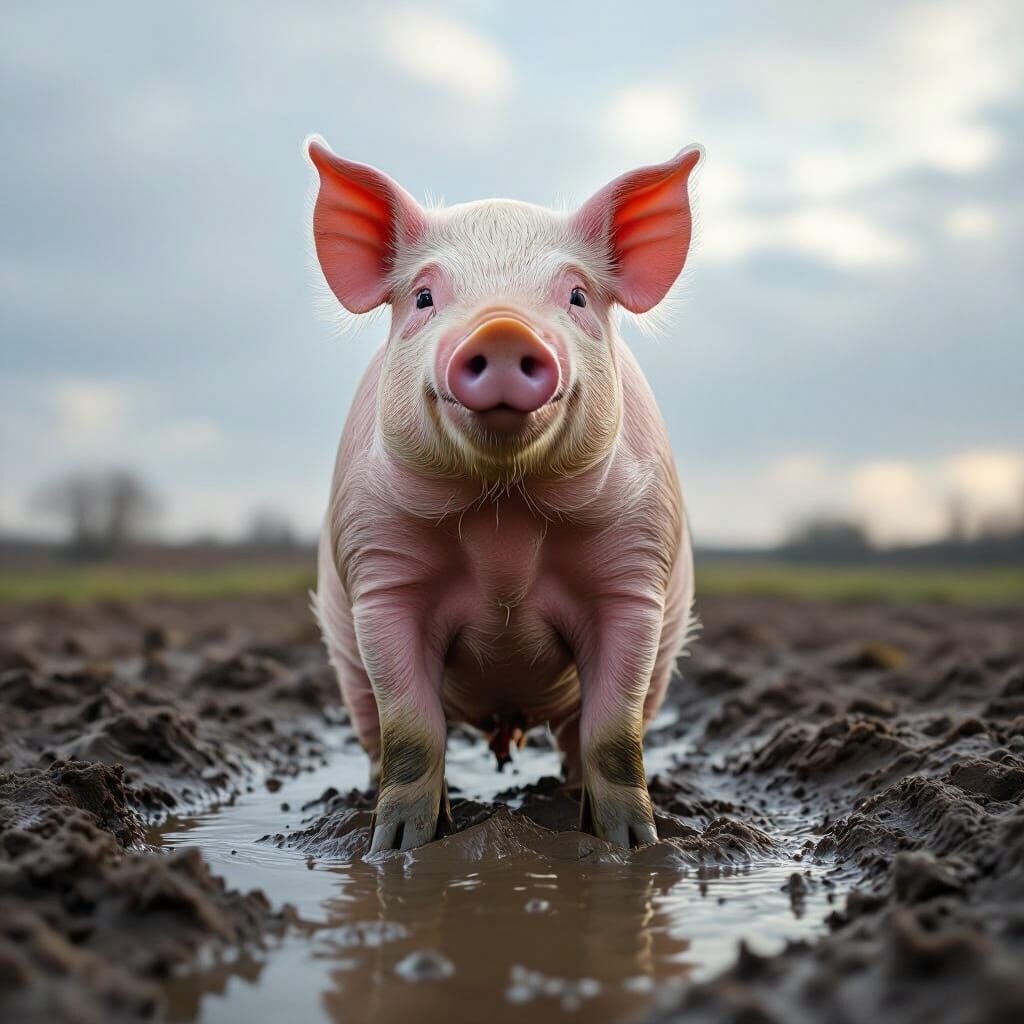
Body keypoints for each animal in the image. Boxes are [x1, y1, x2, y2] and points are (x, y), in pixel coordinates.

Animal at [307, 135, 702, 853]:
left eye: (577, 295)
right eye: (424, 297)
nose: (501, 330)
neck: (504, 520)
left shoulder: (635, 578)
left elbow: (615, 736)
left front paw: (637, 849)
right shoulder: (381, 576)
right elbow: (412, 733)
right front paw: (396, 851)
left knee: (576, 741)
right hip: (346, 663)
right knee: (376, 736)